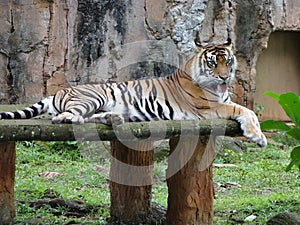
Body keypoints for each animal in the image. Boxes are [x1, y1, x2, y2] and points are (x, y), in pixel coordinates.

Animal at [0, 38, 268, 148]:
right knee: (65, 116)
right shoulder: (207, 107)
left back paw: (113, 118)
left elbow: (244, 108)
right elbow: (246, 110)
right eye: (212, 63)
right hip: (91, 97)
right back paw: (77, 118)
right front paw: (258, 136)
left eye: (228, 61)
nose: (224, 77)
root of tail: (60, 91)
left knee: (88, 117)